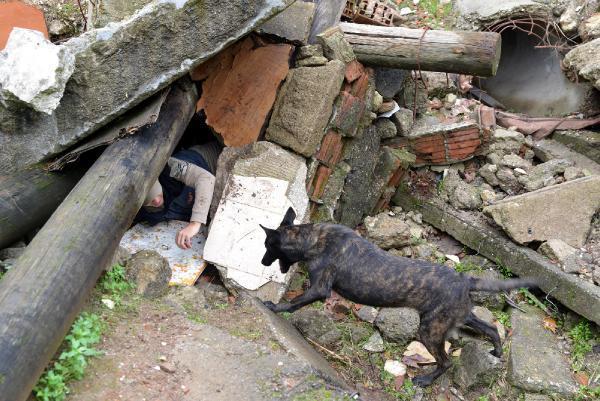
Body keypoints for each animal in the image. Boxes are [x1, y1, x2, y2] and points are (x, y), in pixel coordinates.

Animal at [260, 206, 536, 384]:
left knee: (446, 362)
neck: (312, 237)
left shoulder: (319, 288)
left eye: (266, 246)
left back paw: (426, 380)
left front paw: (273, 307)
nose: (262, 262)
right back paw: (497, 351)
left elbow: (293, 302)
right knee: (490, 328)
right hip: (458, 316)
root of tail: (464, 279)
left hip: (430, 330)